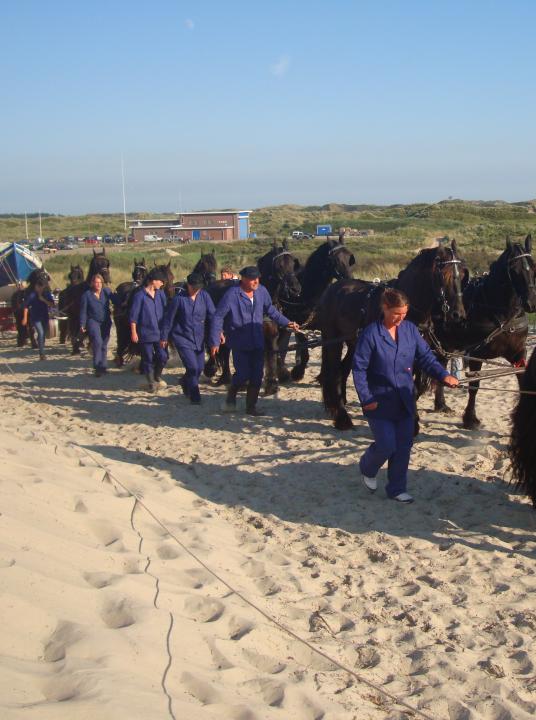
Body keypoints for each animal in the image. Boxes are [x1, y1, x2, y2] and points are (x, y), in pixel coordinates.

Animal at [422, 235, 536, 428]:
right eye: (514, 270)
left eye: (533, 266)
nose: (531, 303)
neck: (501, 314)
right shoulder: (476, 354)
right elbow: (474, 385)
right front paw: (470, 418)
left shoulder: (518, 353)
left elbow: (523, 381)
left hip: (444, 346)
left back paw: (441, 404)